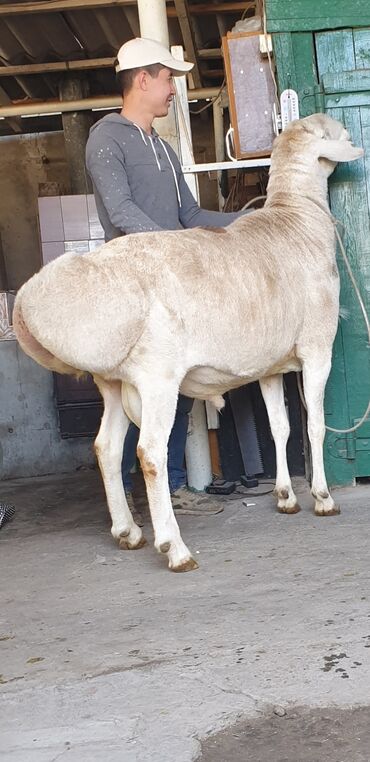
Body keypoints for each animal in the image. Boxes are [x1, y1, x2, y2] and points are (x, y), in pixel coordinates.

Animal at [13, 114, 362, 568]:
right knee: (149, 454)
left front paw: (286, 496)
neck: (296, 217)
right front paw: (321, 498)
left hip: (113, 381)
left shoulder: (268, 366)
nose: (354, 139)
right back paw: (173, 547)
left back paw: (128, 532)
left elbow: (280, 428)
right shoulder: (318, 349)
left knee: (107, 448)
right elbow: (316, 425)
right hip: (156, 377)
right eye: (336, 133)